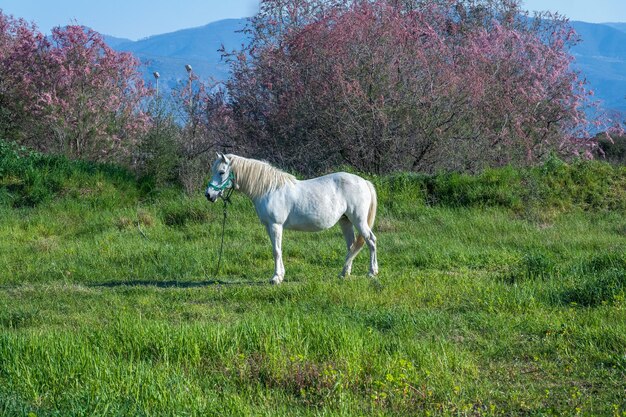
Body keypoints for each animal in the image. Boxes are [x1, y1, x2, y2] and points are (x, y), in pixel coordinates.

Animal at [205, 153, 376, 282]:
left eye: (221, 172)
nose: (208, 195)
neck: (269, 189)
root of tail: (364, 182)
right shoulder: (269, 226)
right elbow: (277, 249)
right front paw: (280, 275)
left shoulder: (275, 225)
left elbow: (276, 250)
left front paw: (275, 278)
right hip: (345, 221)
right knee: (352, 246)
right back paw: (344, 274)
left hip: (359, 220)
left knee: (371, 240)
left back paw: (372, 272)